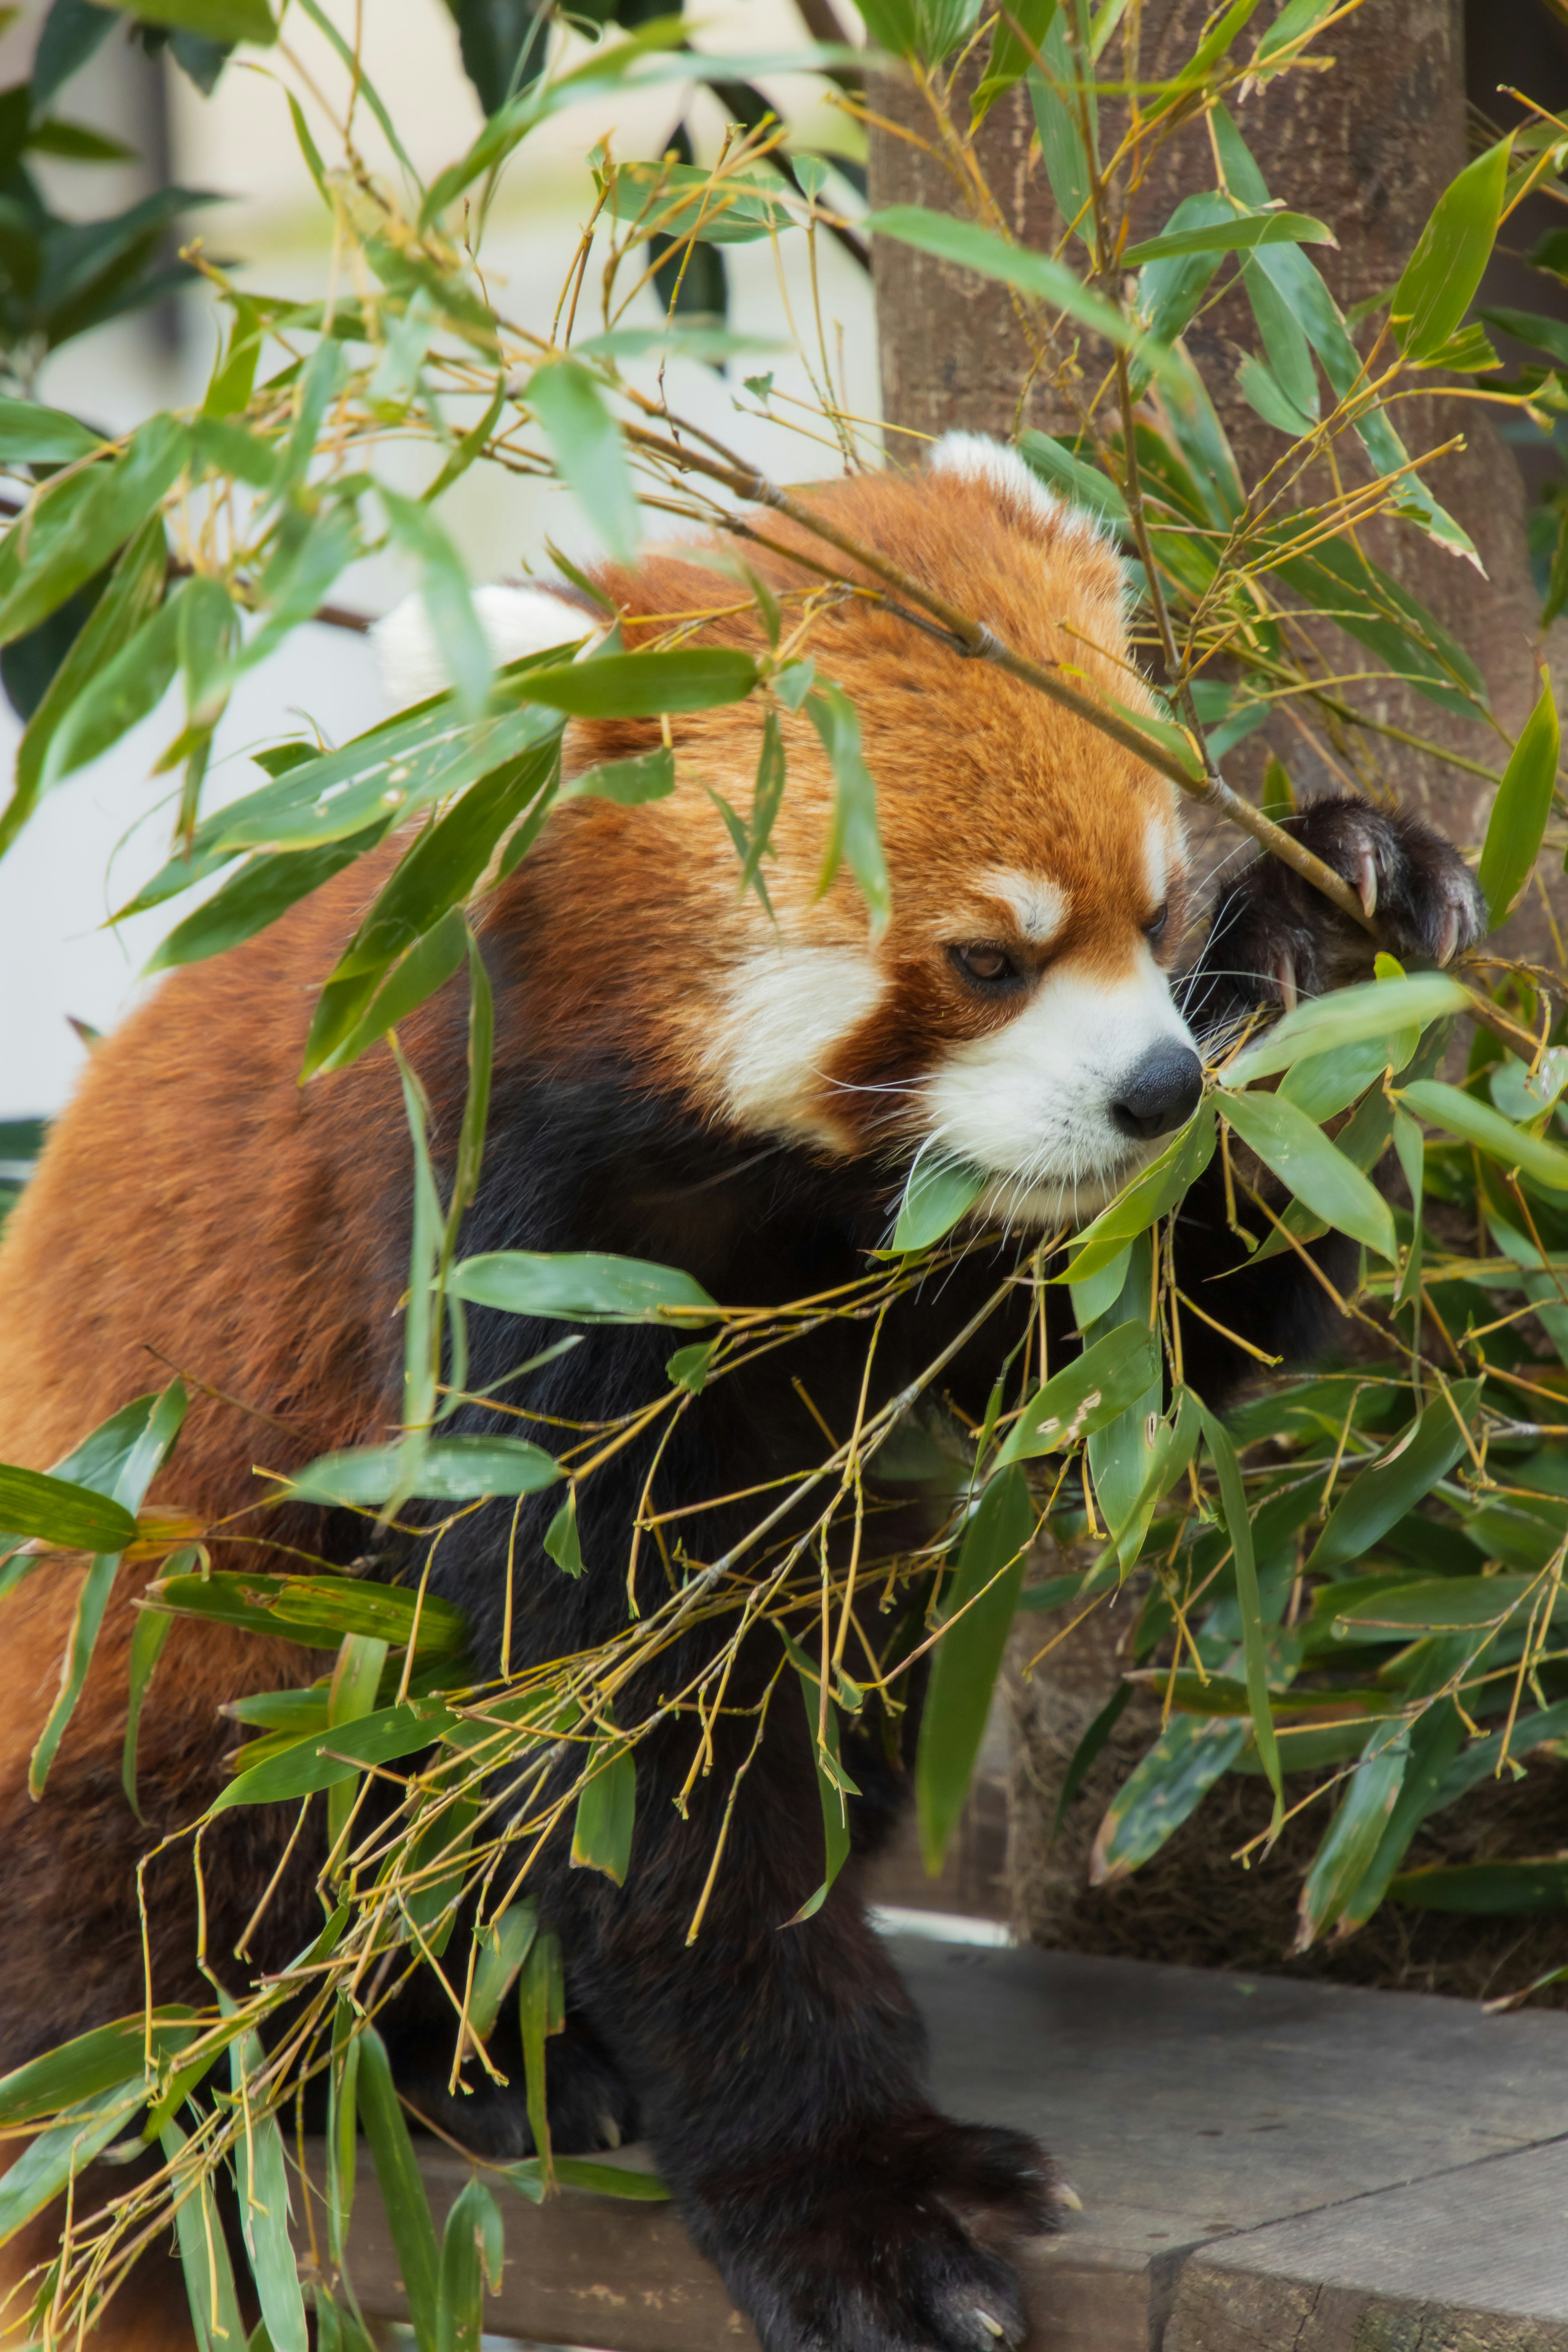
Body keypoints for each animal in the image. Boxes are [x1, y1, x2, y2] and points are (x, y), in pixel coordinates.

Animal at [0, 442, 1486, 2352]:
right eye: (988, 961)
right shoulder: (495, 1242)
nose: (1159, 1089)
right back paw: (436, 2056)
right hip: (183, 1669)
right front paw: (851, 2190)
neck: (767, 1192)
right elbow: (638, 1730)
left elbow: (1118, 1340)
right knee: (211, 1885)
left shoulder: (917, 1259)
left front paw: (1338, 922)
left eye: (1158, 919)